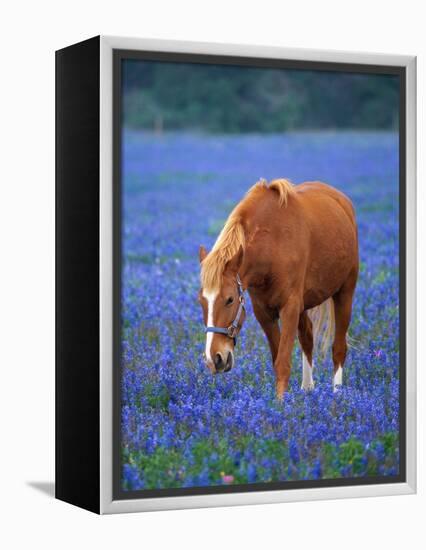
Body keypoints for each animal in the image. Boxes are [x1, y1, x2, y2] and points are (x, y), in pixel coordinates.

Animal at [198, 179, 358, 398]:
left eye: (230, 299)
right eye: (201, 301)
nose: (214, 359)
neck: (271, 244)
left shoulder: (289, 308)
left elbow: (283, 363)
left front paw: (280, 404)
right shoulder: (264, 312)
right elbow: (277, 359)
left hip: (345, 292)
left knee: (339, 348)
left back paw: (337, 395)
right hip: (304, 304)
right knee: (307, 337)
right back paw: (307, 389)